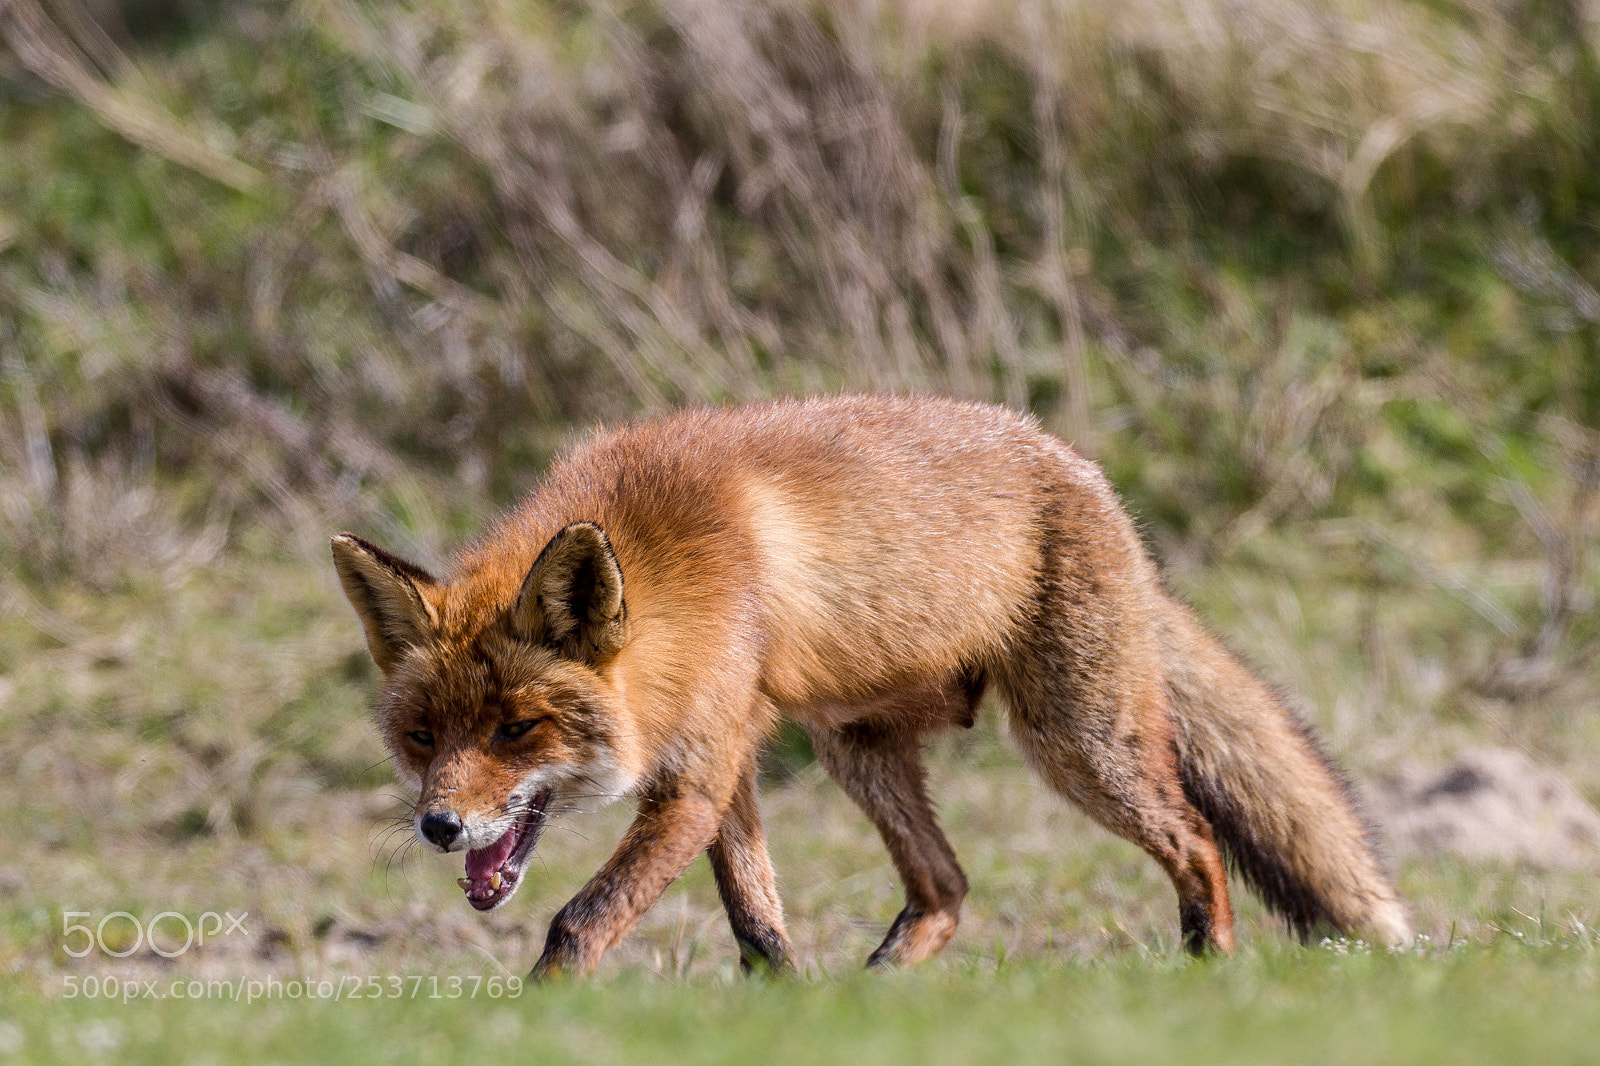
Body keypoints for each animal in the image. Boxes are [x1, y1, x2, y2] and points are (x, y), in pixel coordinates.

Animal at [330, 394, 1410, 977]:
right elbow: (758, 923)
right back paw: (874, 988)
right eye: (422, 736)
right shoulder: (725, 759)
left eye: (517, 730)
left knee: (1193, 838)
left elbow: (578, 920)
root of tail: (1084, 472)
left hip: (1077, 740)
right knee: (947, 886)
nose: (438, 826)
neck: (675, 574)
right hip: (857, 745)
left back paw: (1207, 972)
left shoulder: (696, 772)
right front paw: (788, 1009)